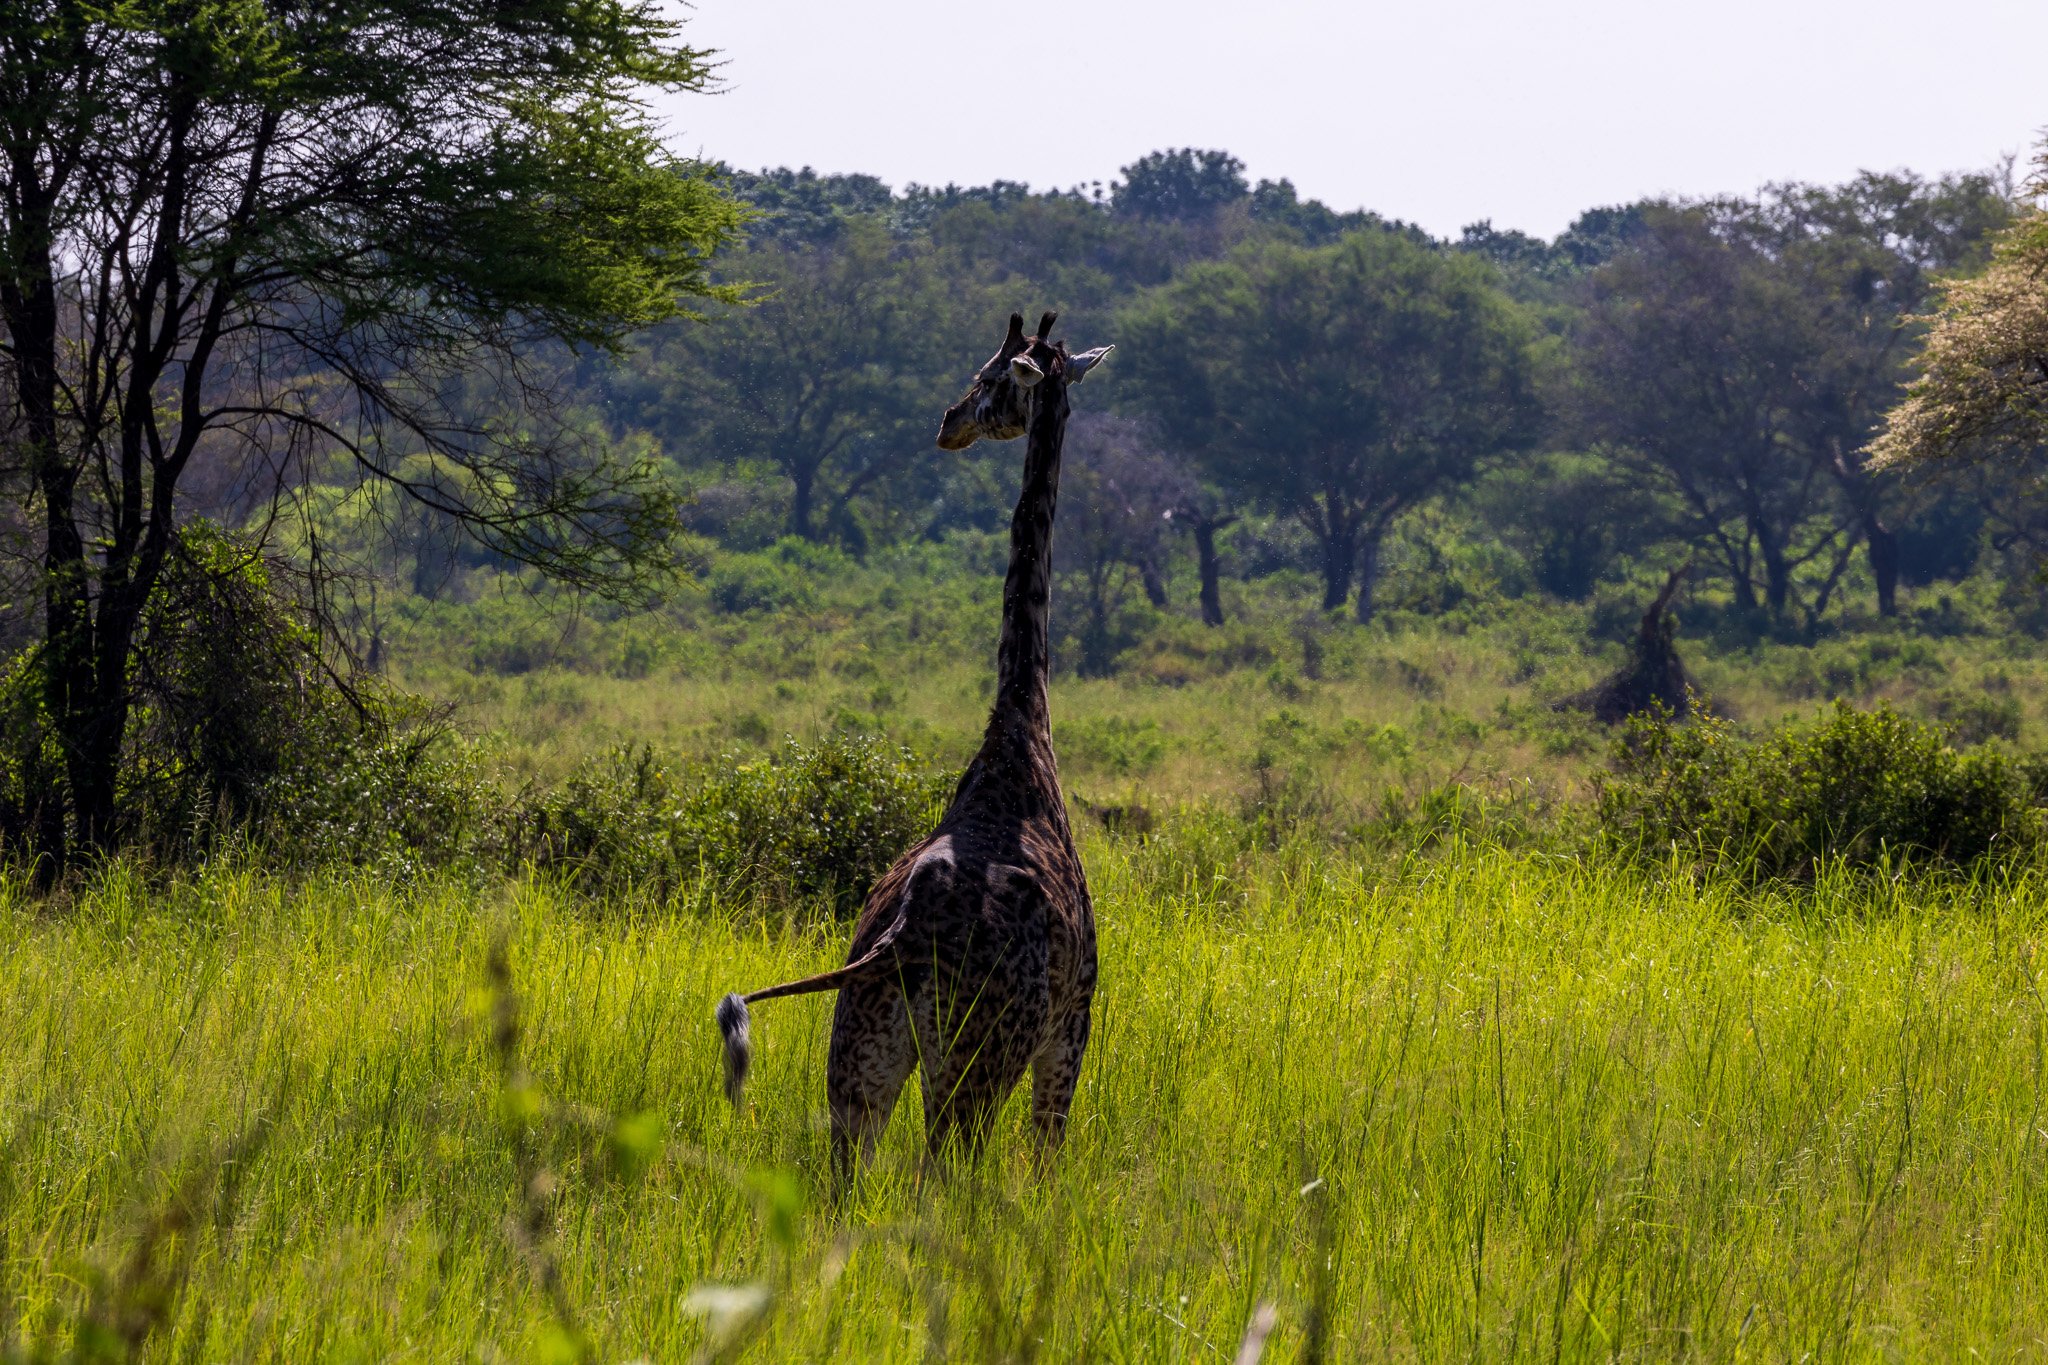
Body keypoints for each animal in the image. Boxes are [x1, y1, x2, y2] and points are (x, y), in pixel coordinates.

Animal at [716, 313, 1114, 1186]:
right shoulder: (1073, 1020)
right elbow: (1048, 1160)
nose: (949, 422)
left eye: (990, 378)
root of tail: (904, 936)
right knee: (944, 1178)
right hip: (977, 1061)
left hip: (857, 1059)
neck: (1021, 725)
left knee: (842, 1178)